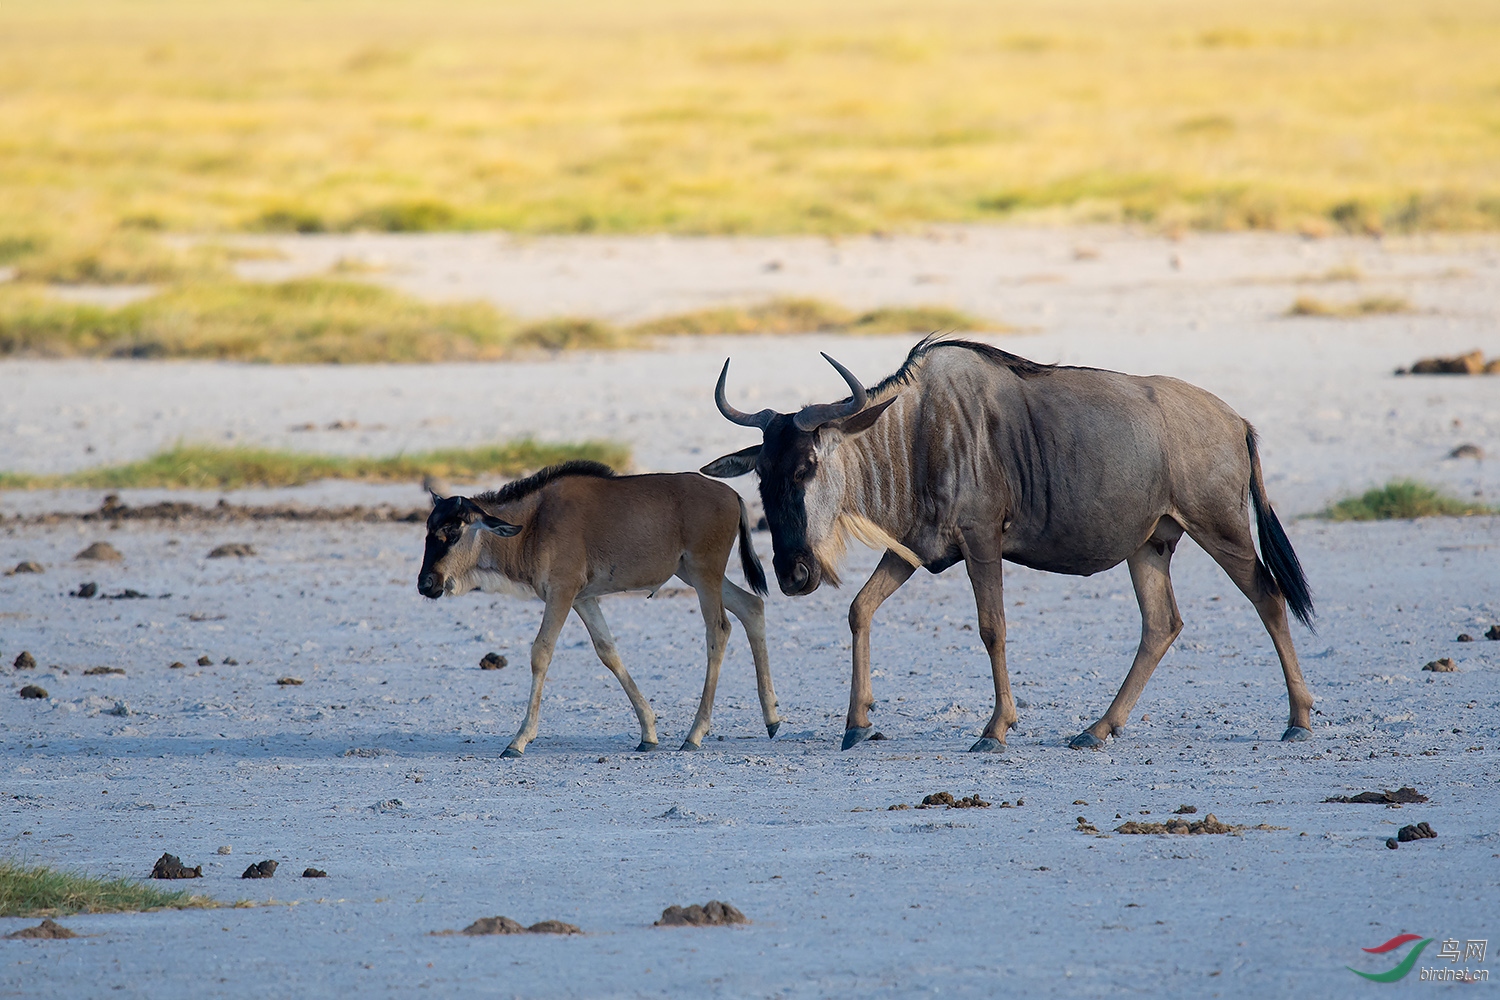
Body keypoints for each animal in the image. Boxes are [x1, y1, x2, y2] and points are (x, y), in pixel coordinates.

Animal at [417, 458, 780, 749]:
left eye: (452, 531)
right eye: (429, 530)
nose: (426, 583)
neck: (535, 522)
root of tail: (731, 495)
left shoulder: (562, 592)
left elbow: (541, 652)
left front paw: (519, 739)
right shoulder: (583, 599)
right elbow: (608, 651)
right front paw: (648, 733)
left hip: (705, 573)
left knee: (718, 631)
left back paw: (695, 734)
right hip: (693, 573)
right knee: (751, 607)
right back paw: (772, 718)